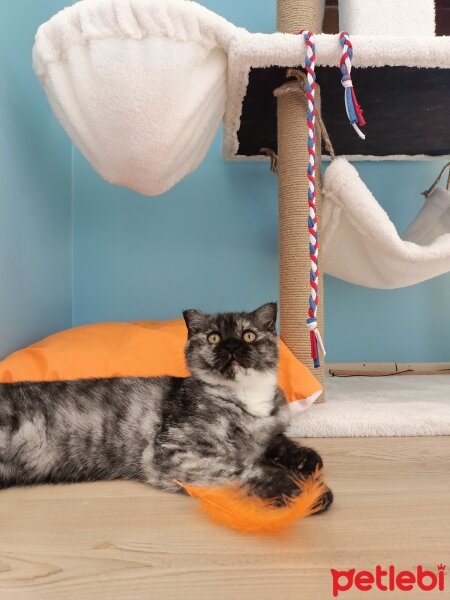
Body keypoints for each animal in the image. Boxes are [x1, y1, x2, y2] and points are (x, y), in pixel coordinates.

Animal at [0, 302, 330, 508]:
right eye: (213, 338)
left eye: (248, 335)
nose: (231, 345)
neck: (246, 397)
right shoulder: (173, 451)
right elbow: (241, 468)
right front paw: (303, 492)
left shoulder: (268, 427)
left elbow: (275, 440)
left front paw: (306, 459)